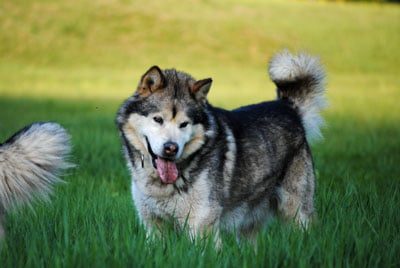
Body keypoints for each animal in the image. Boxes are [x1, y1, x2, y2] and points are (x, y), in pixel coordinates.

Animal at [115, 50, 324, 243]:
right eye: (158, 119)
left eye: (184, 124)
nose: (171, 148)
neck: (161, 186)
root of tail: (287, 107)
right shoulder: (153, 225)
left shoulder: (200, 224)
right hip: (250, 221)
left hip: (297, 212)